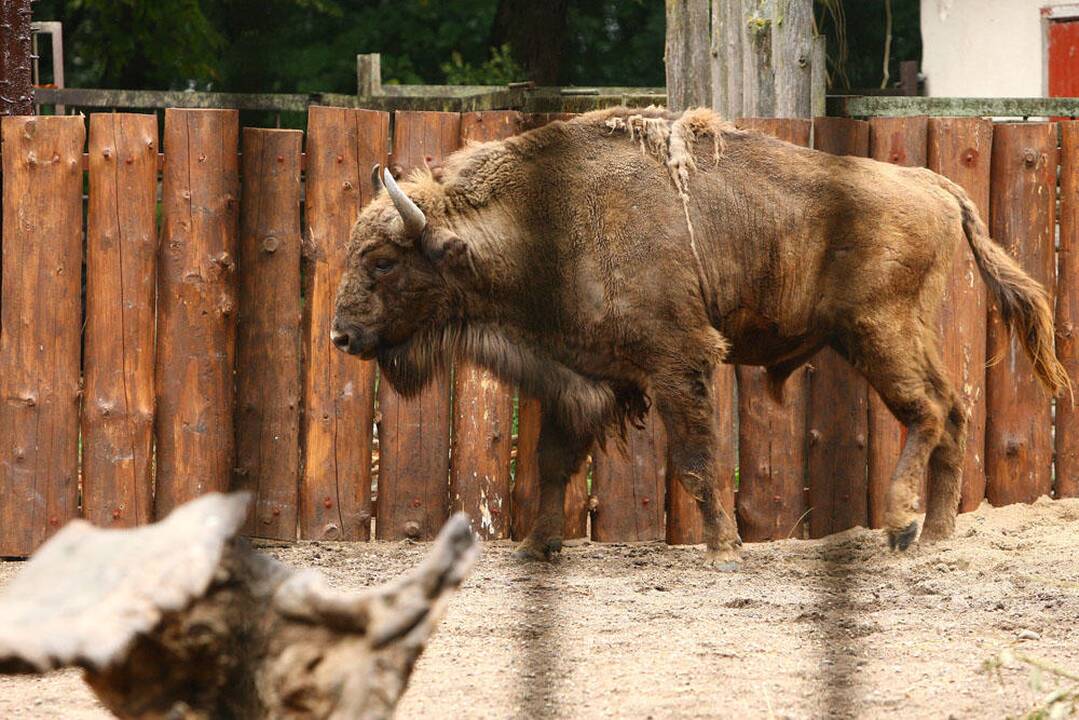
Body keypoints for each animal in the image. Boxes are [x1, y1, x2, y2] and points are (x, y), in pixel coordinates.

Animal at [330, 106, 1070, 569]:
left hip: (874, 332)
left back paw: (900, 527)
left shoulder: (678, 360)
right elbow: (553, 463)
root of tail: (932, 182)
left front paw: (723, 549)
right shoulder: (581, 379)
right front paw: (534, 548)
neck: (547, 222)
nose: (341, 335)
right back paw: (938, 535)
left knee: (927, 410)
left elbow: (693, 457)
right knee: (954, 410)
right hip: (904, 330)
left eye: (383, 261)